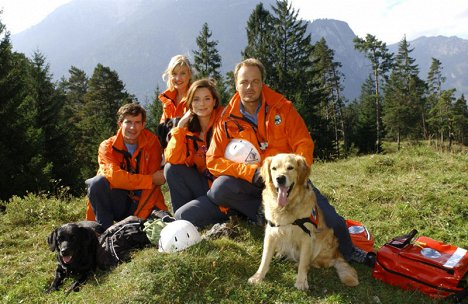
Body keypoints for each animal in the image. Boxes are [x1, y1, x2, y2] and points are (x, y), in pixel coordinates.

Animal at [249, 154, 358, 290]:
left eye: (290, 168)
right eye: (274, 168)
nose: (280, 179)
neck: (287, 207)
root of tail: (337, 254)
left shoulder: (307, 237)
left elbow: (304, 262)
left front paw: (301, 282)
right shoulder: (271, 233)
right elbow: (265, 258)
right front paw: (258, 277)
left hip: (324, 238)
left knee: (316, 263)